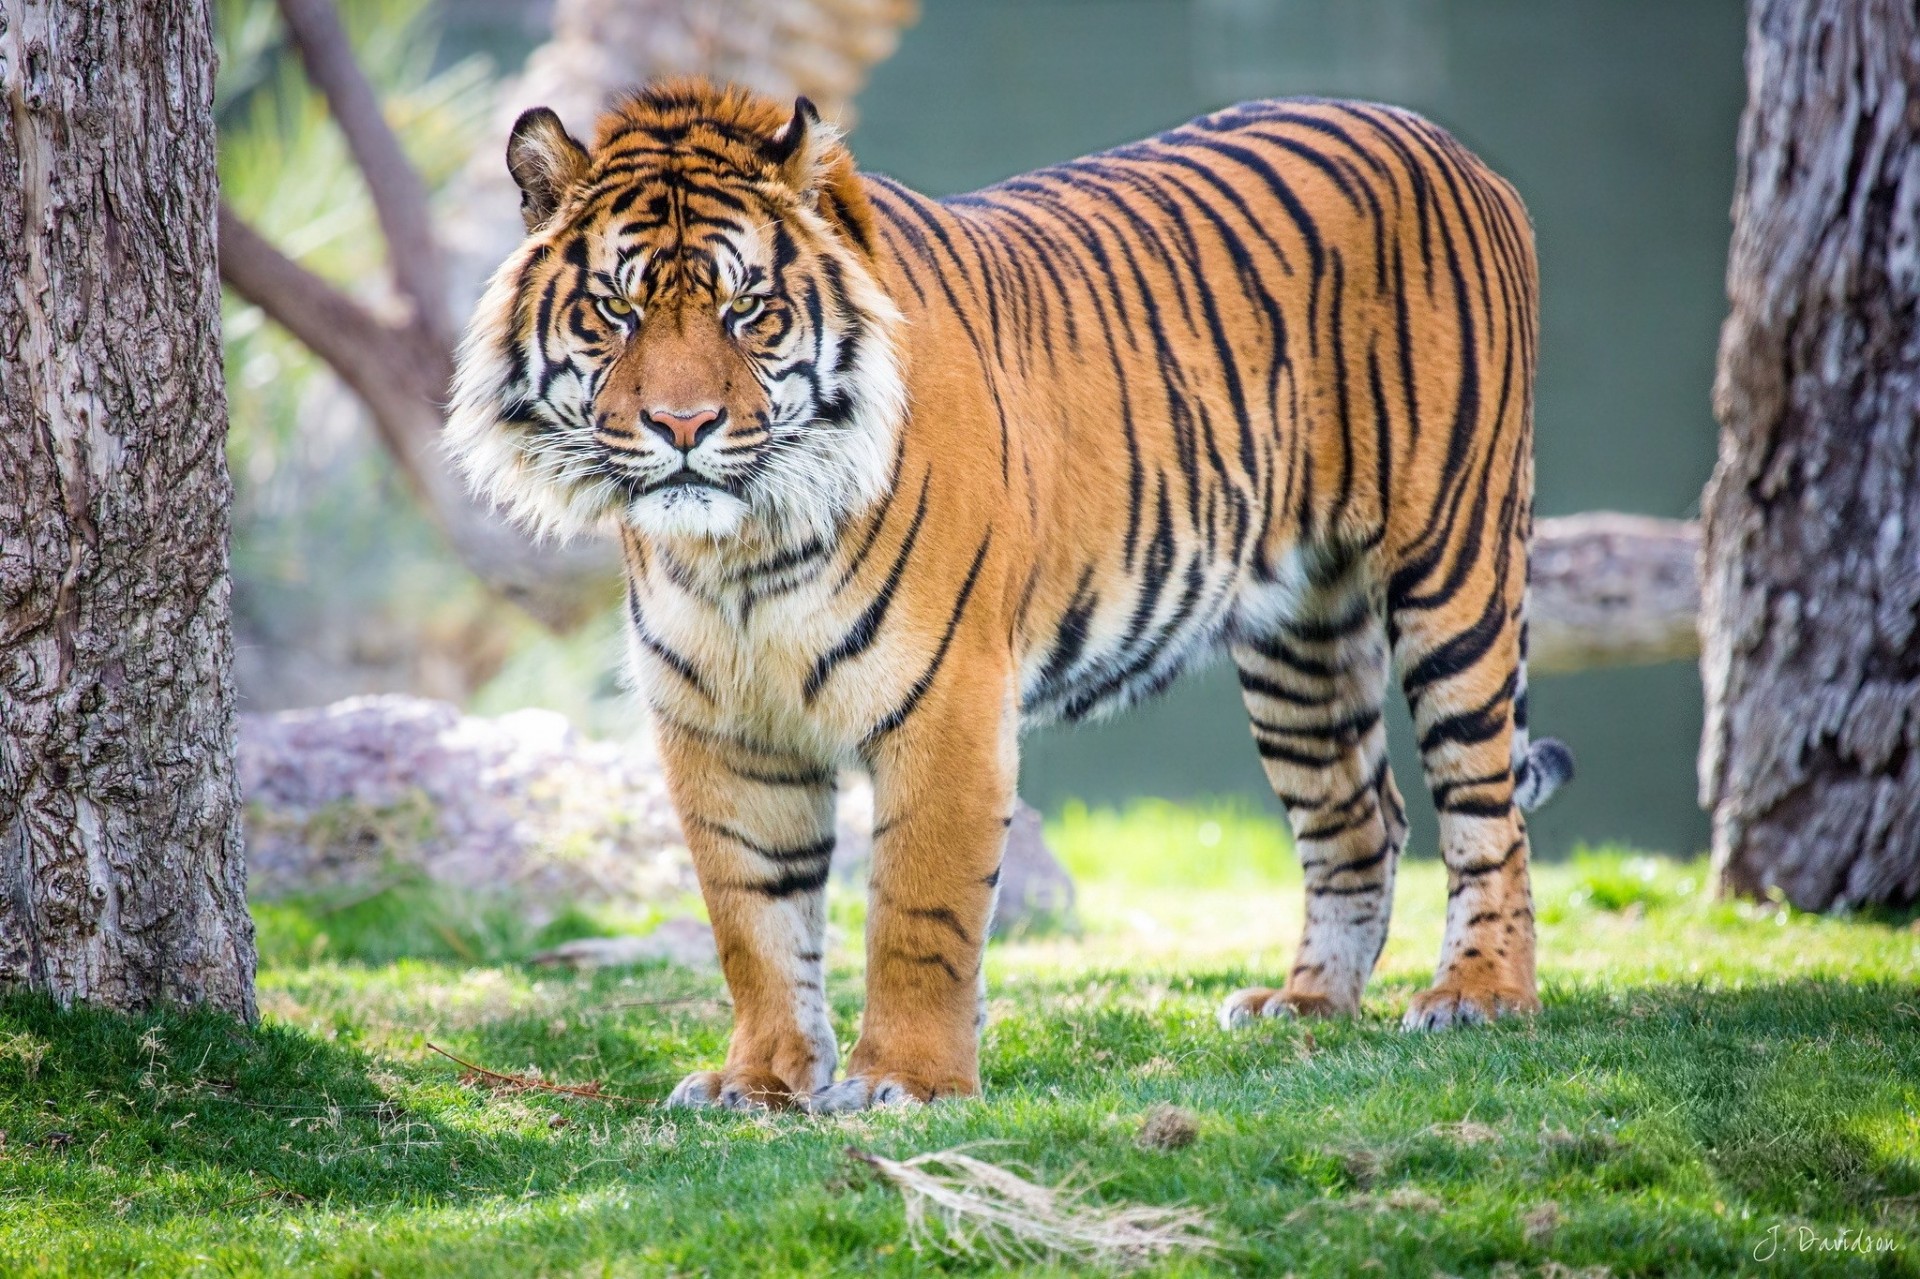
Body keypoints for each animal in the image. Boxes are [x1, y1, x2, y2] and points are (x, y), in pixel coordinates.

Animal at [448, 77, 1573, 1111]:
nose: (683, 427)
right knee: (1360, 814)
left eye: (748, 310)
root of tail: (1434, 136)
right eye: (618, 309)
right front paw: (760, 1080)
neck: (742, 552)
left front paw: (904, 1081)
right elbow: (753, 918)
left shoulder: (946, 699)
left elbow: (918, 908)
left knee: (1483, 807)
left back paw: (1479, 995)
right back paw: (1306, 1004)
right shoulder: (720, 726)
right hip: (1300, 635)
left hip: (1454, 565)